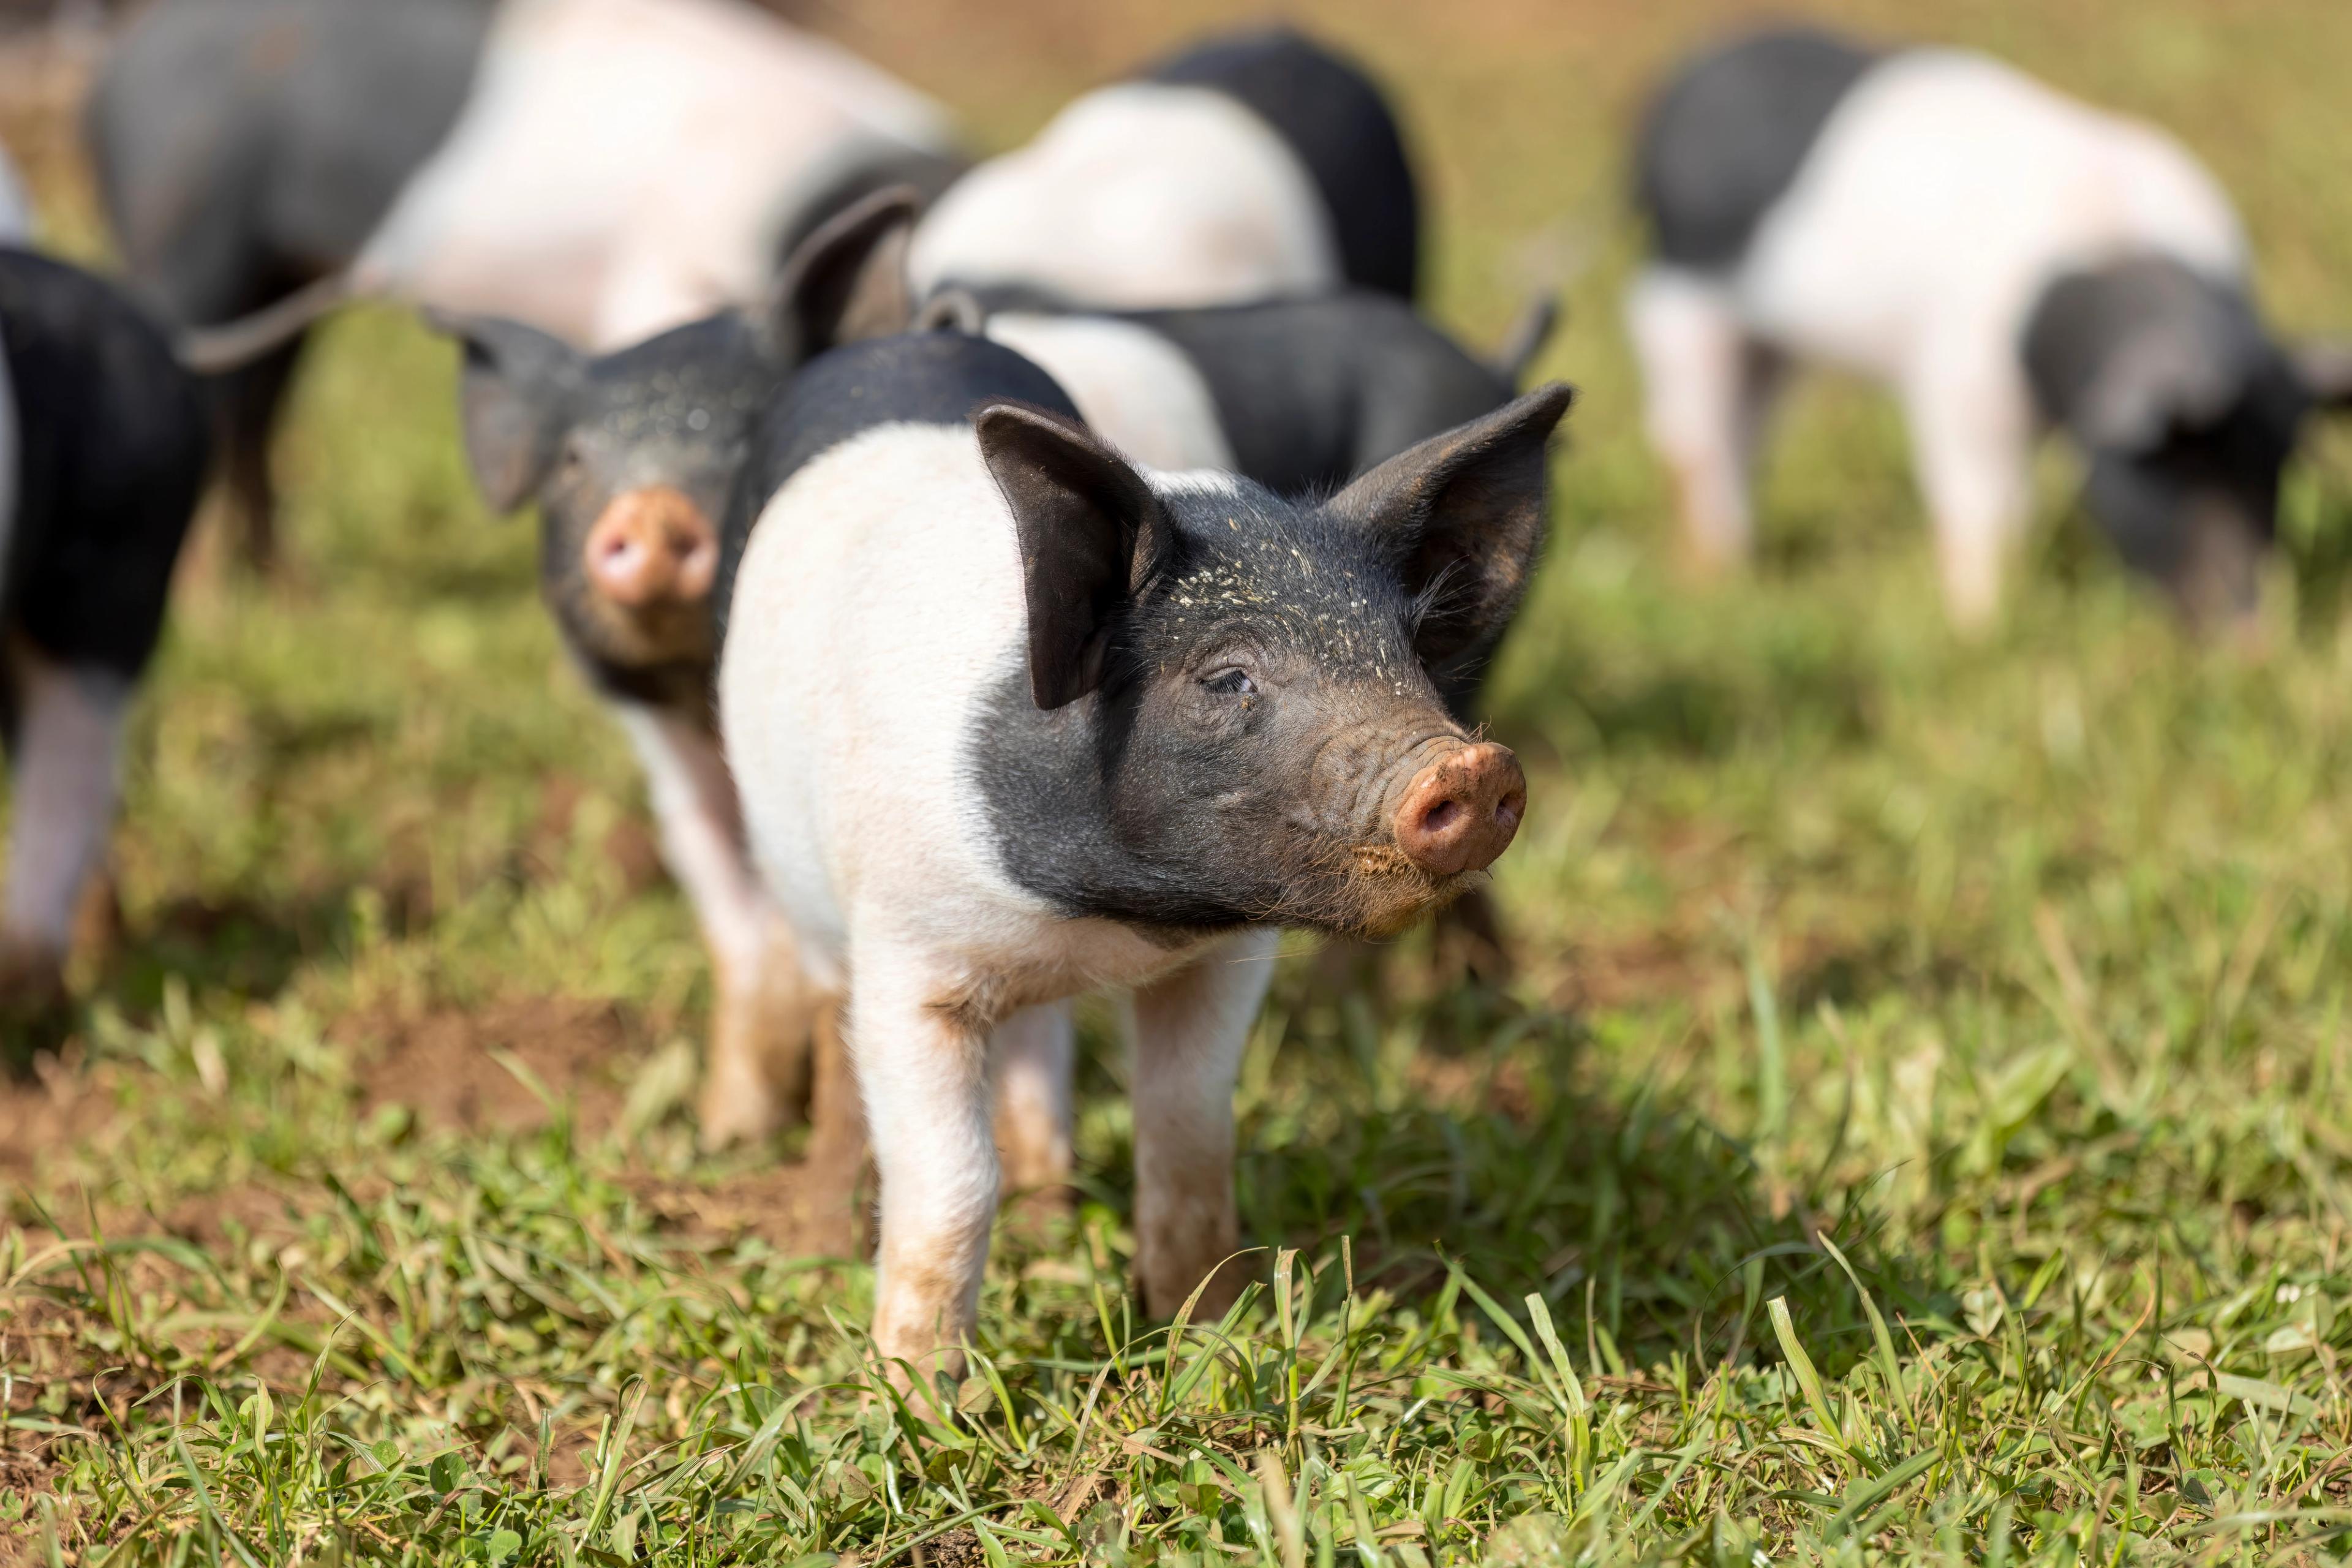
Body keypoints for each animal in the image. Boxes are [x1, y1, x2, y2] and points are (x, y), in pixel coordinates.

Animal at [430, 190, 918, 1148]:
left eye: (746, 440)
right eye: (573, 461)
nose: (652, 510)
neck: (704, 702)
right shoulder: (672, 773)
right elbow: (728, 917)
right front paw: (727, 1133)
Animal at [716, 328, 1572, 1388]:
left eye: (1410, 656)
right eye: (1227, 676)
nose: (1473, 765)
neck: (1110, 923)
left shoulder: (1223, 962)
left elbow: (1188, 1135)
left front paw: (1210, 1342)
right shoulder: (910, 957)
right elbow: (952, 1182)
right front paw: (917, 1396)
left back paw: (1050, 1213)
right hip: (799, 882)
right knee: (839, 1052)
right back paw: (819, 1247)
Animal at [1627, 25, 2352, 628]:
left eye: (2280, 472)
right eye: (2177, 466)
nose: (2254, 642)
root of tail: (1672, 92)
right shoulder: (1959, 384)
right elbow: (1985, 510)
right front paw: (1981, 627)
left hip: (1772, 344)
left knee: (1748, 434)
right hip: (1676, 296)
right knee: (1689, 441)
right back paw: (1705, 582)